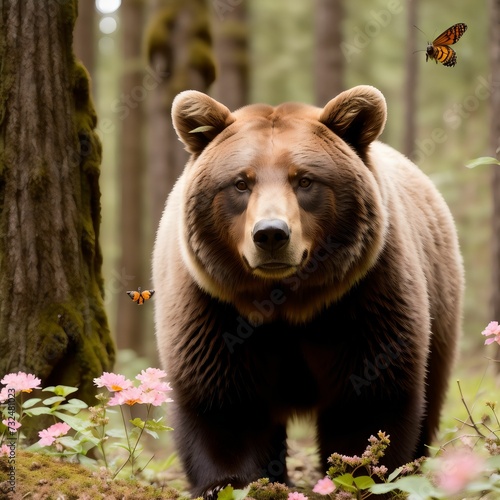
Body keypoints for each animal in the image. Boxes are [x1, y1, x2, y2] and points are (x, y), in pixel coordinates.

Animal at [151, 85, 460, 496]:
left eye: (305, 180)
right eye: (241, 182)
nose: (270, 234)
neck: (286, 302)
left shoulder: (365, 297)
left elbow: (369, 399)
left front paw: (358, 475)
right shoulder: (213, 307)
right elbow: (223, 404)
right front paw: (228, 483)